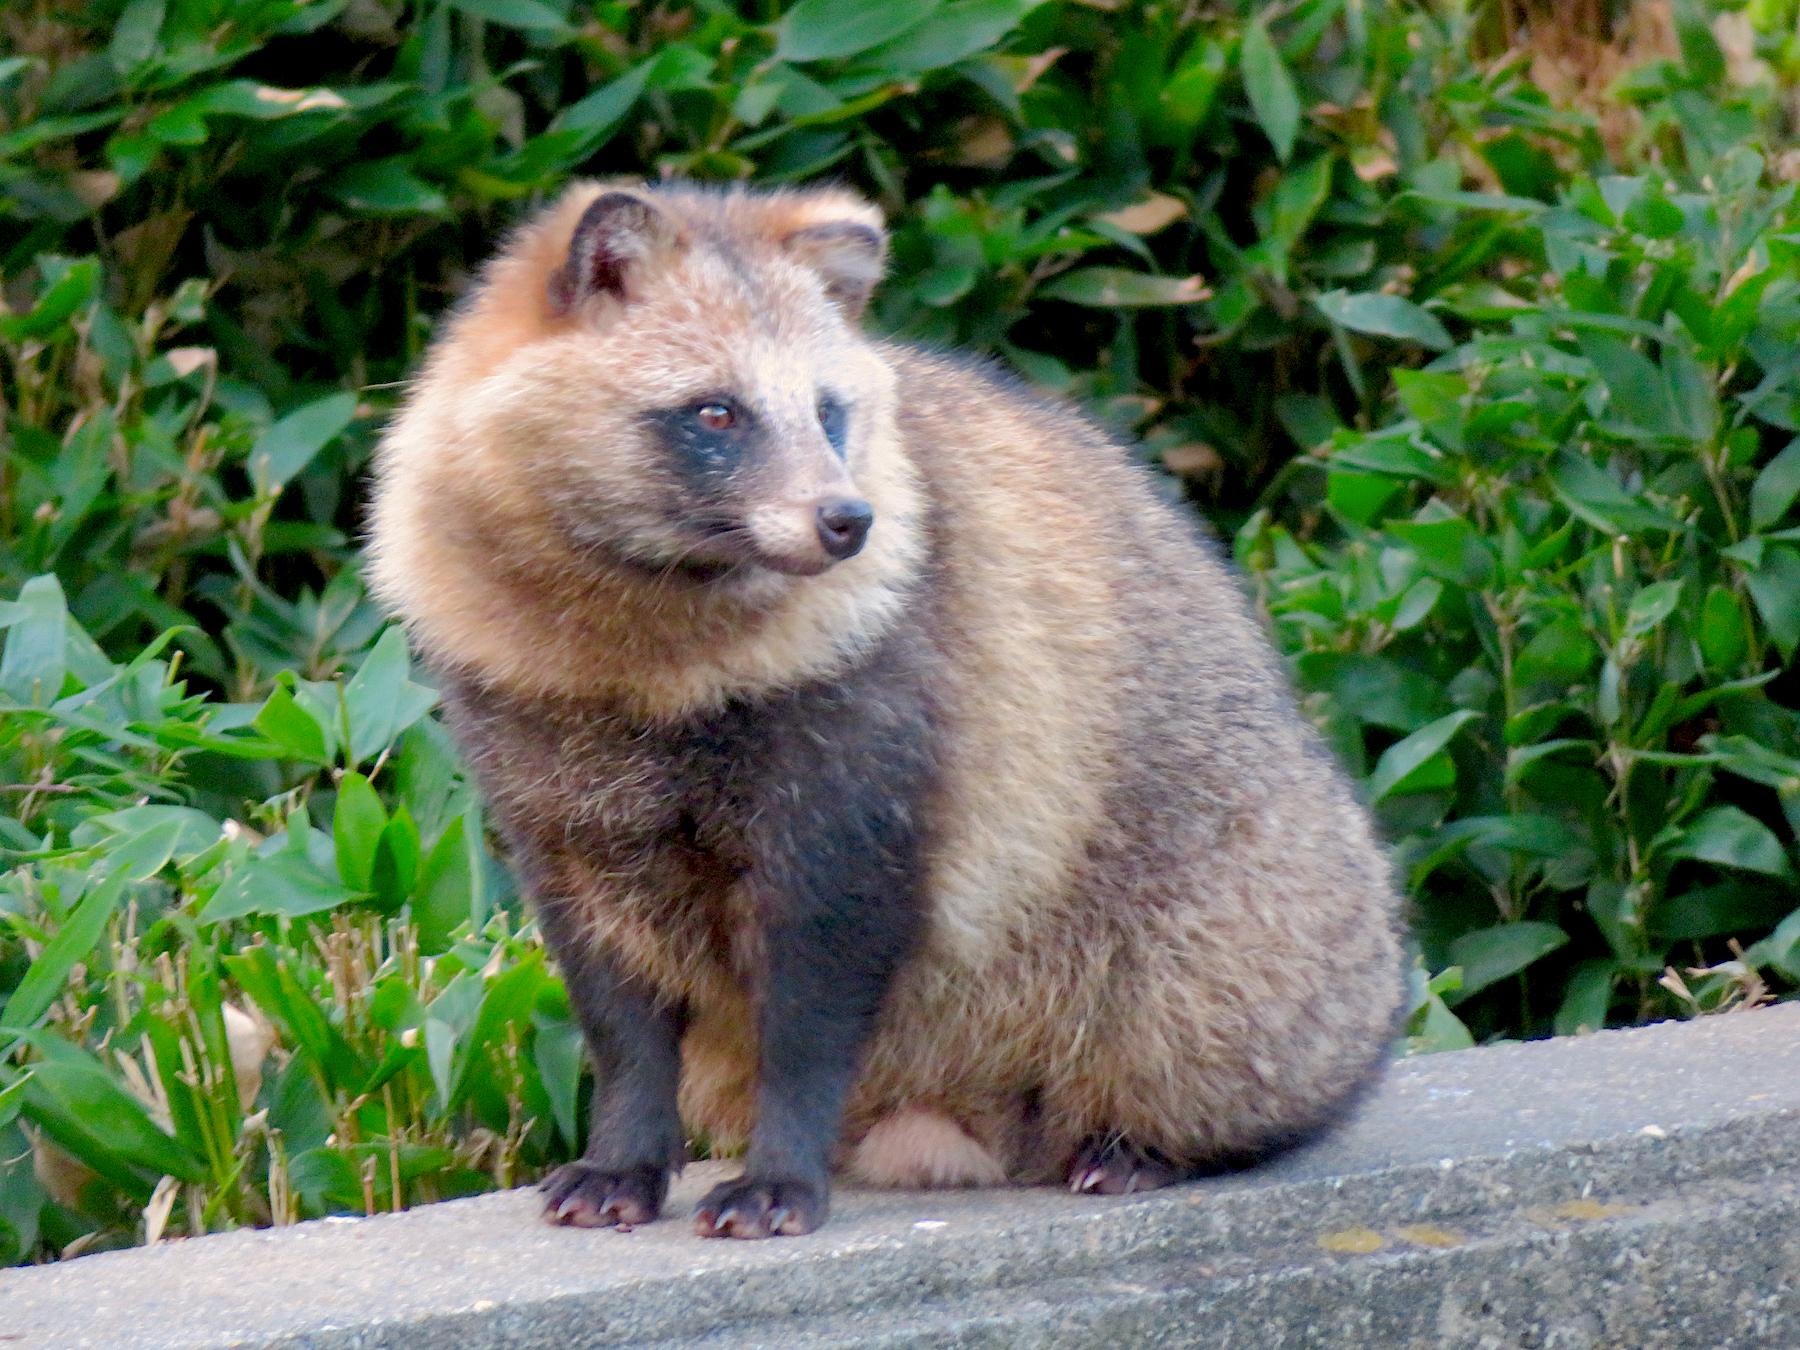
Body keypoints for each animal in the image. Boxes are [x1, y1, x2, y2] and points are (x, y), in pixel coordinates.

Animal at [365, 182, 1404, 1245]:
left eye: (828, 411)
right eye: (716, 411)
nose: (848, 521)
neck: (645, 642)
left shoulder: (869, 748)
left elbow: (815, 996)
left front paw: (782, 1169)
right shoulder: (551, 790)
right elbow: (618, 1006)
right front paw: (627, 1150)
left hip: (1237, 935)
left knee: (1198, 1028)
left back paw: (1151, 1141)